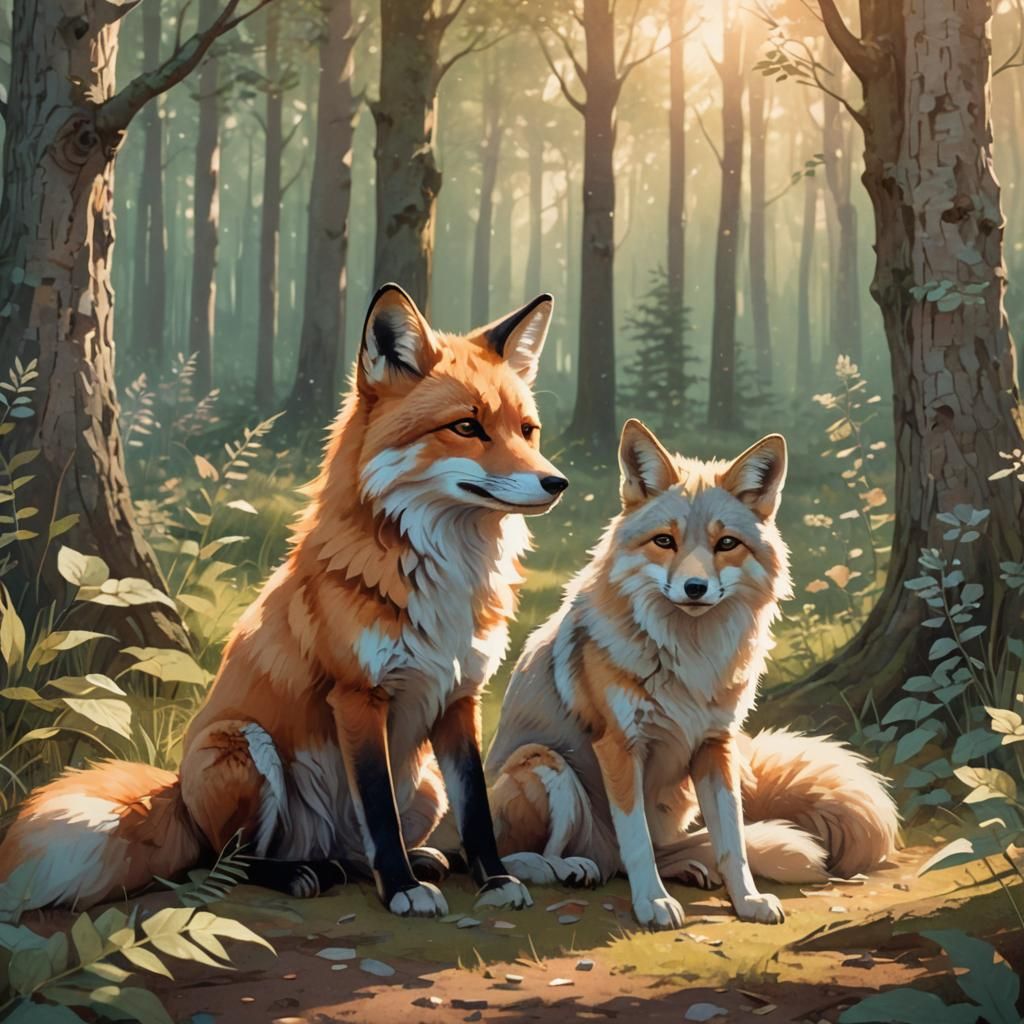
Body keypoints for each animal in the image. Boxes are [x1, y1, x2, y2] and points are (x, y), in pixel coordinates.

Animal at [0, 283, 569, 918]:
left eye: (528, 430)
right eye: (467, 427)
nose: (557, 483)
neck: (446, 576)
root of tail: (177, 791)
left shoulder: (460, 697)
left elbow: (476, 811)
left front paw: (495, 879)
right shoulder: (356, 696)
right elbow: (379, 811)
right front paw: (401, 889)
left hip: (424, 787)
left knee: (356, 851)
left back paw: (406, 861)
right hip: (246, 748)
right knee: (223, 861)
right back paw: (303, 872)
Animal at [485, 419, 899, 930]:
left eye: (726, 544)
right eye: (665, 541)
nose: (695, 588)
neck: (689, 660)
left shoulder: (716, 747)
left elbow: (732, 843)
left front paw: (747, 901)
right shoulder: (619, 748)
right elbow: (638, 842)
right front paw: (653, 904)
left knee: (646, 854)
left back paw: (685, 868)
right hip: (546, 765)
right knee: (517, 856)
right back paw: (563, 869)